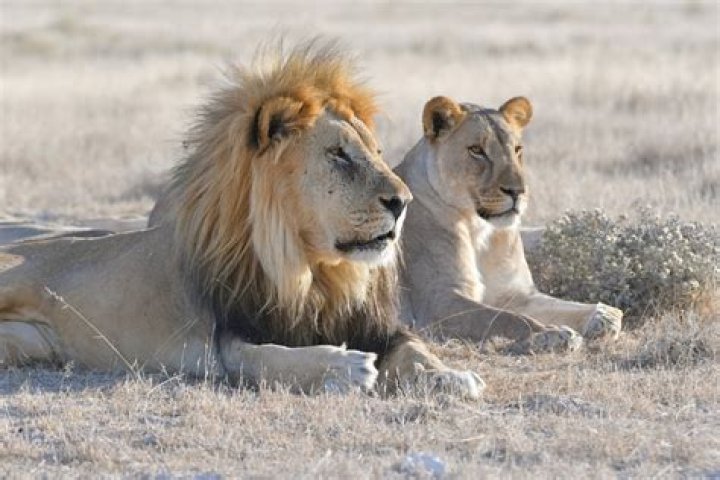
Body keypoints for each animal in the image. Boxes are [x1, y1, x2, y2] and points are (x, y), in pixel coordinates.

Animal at [0, 43, 482, 398]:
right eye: (338, 154)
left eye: (378, 153)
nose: (404, 201)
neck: (315, 273)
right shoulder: (228, 340)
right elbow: (274, 358)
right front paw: (344, 367)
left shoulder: (375, 325)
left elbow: (416, 348)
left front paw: (450, 376)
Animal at [395, 95, 623, 352]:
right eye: (476, 150)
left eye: (517, 149)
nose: (517, 191)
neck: (479, 231)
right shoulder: (437, 303)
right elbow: (506, 319)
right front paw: (551, 334)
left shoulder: (516, 294)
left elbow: (559, 305)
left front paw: (603, 316)